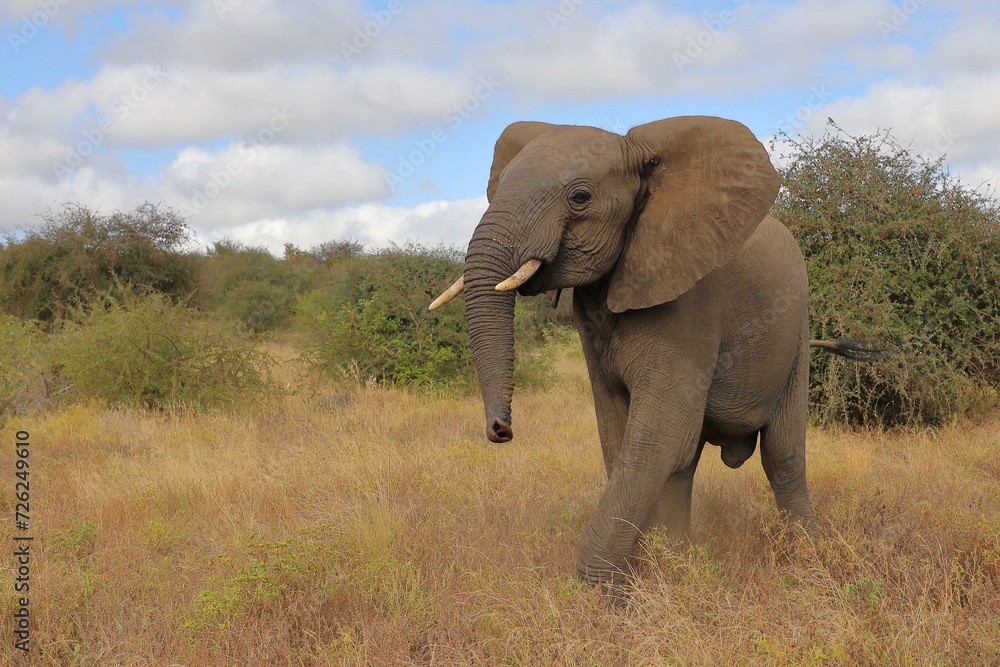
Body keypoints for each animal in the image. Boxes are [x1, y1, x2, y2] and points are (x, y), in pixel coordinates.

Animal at [428, 116, 884, 594]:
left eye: (579, 198)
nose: (501, 430)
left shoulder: (689, 303)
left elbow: (656, 439)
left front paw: (605, 597)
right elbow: (622, 436)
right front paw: (647, 575)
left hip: (795, 332)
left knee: (781, 455)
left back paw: (804, 568)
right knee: (687, 464)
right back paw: (683, 562)